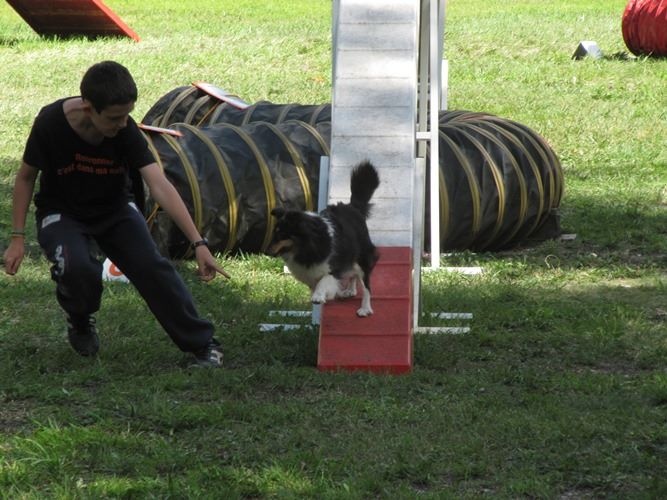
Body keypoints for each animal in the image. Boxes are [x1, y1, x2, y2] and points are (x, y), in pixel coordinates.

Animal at [268, 160, 380, 316]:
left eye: (282, 235)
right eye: (275, 234)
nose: (267, 252)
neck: (308, 246)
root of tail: (354, 207)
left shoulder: (334, 267)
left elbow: (324, 280)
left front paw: (318, 297)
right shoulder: (311, 274)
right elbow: (318, 284)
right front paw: (326, 294)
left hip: (363, 257)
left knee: (366, 285)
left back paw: (365, 308)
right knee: (353, 274)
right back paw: (350, 290)